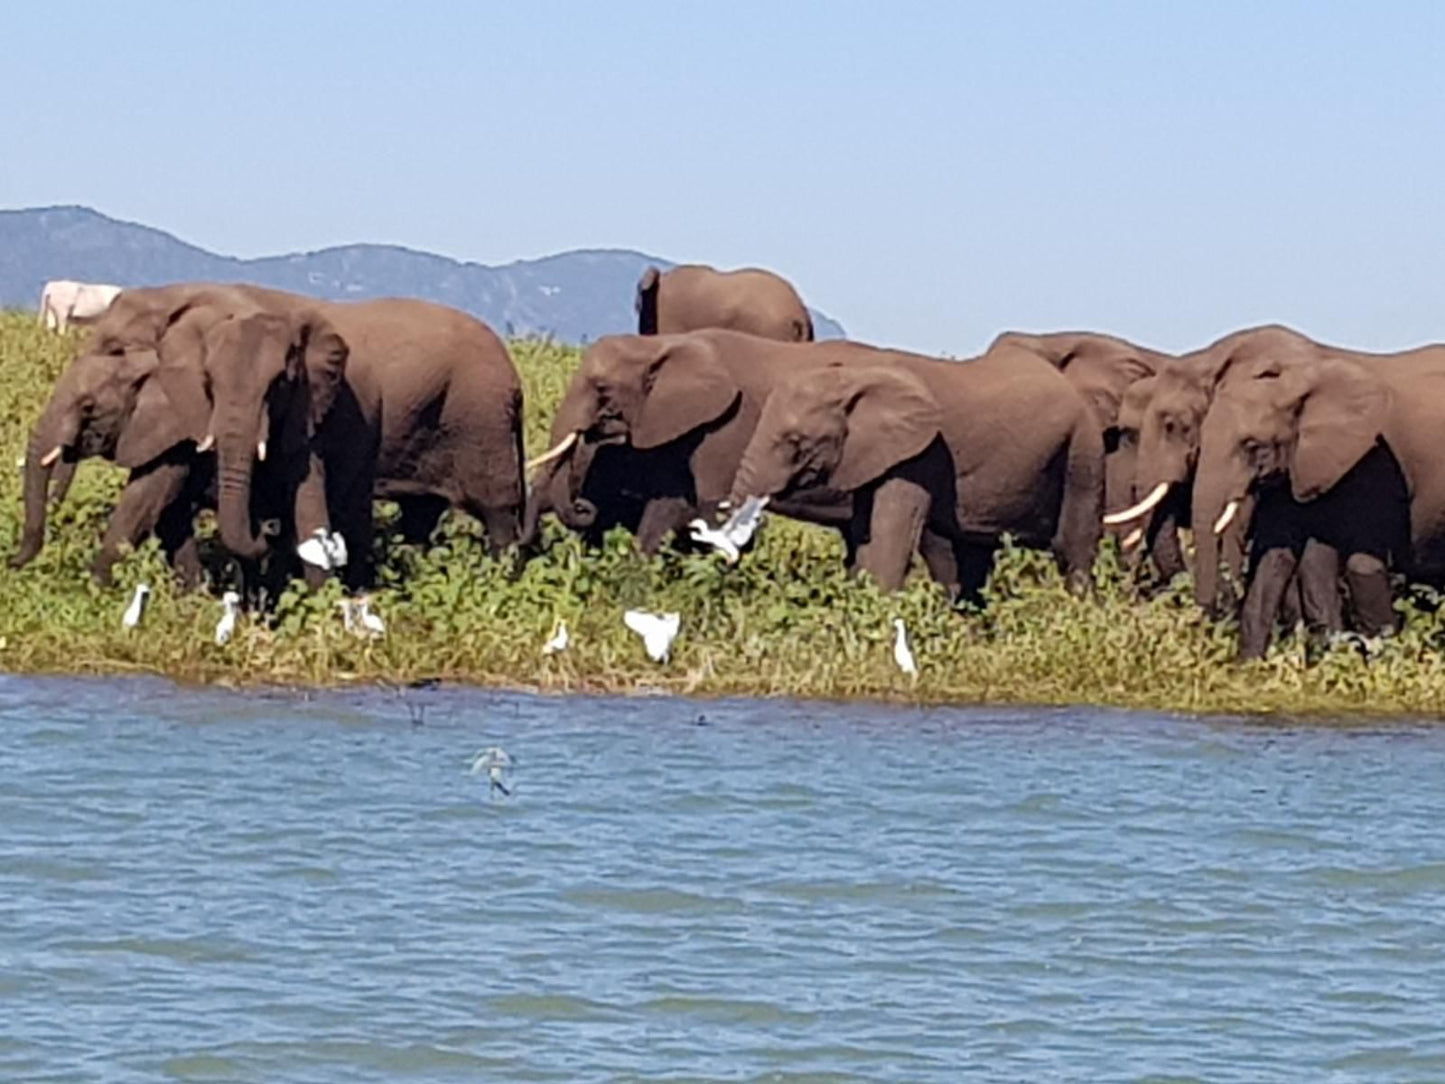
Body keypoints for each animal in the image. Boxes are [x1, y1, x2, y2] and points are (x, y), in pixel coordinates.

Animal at [728, 345, 1098, 595]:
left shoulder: (921, 454)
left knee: (1074, 552)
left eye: (795, 442)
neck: (857, 376)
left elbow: (887, 545)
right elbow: (865, 540)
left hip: (1082, 453)